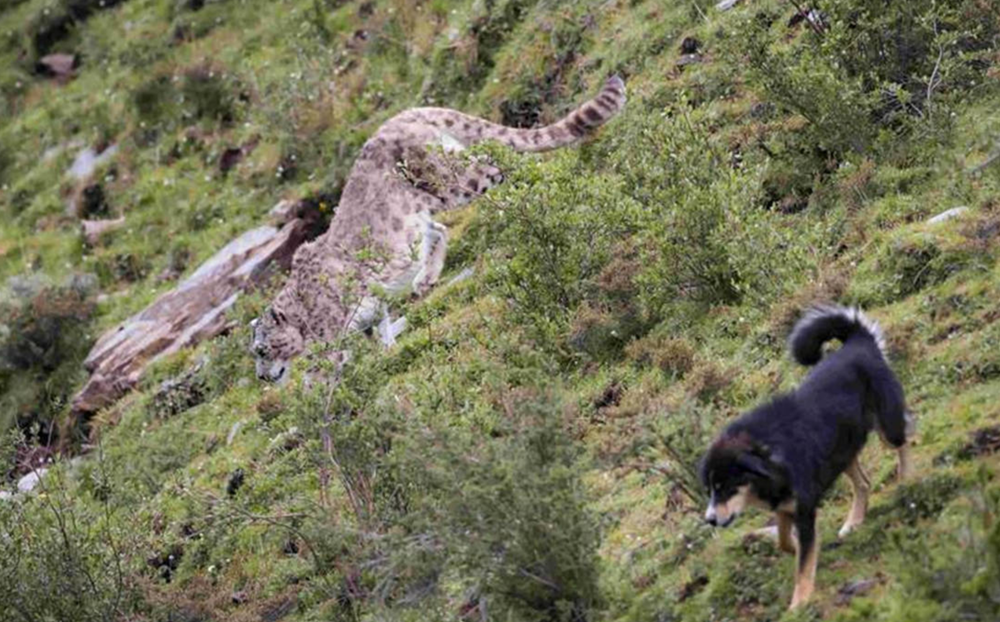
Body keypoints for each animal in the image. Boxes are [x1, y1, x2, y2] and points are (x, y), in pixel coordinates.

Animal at [700, 306, 912, 608]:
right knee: (863, 483)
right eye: (709, 490)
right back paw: (853, 521)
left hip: (886, 425)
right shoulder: (786, 505)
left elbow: (804, 563)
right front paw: (791, 546)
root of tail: (858, 341)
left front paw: (799, 603)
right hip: (841, 450)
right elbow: (784, 539)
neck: (767, 454)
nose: (709, 520)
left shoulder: (804, 508)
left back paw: (906, 479)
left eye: (725, 488)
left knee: (903, 441)